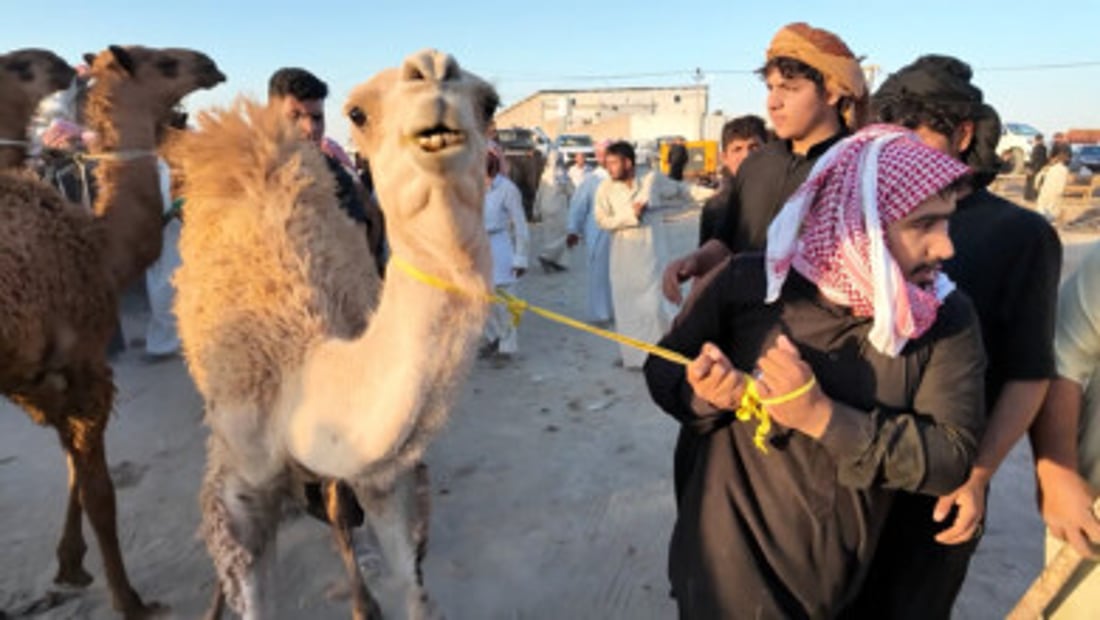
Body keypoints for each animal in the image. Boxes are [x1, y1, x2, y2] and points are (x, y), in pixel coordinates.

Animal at [0, 45, 224, 618]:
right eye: (164, 64)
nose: (211, 63)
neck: (98, 244)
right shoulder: (83, 366)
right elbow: (99, 491)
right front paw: (129, 600)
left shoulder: (45, 379)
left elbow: (74, 470)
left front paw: (70, 564)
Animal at [171, 49, 498, 618]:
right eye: (358, 113)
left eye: (490, 103)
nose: (433, 69)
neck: (298, 370)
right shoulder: (239, 481)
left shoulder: (385, 477)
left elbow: (413, 586)